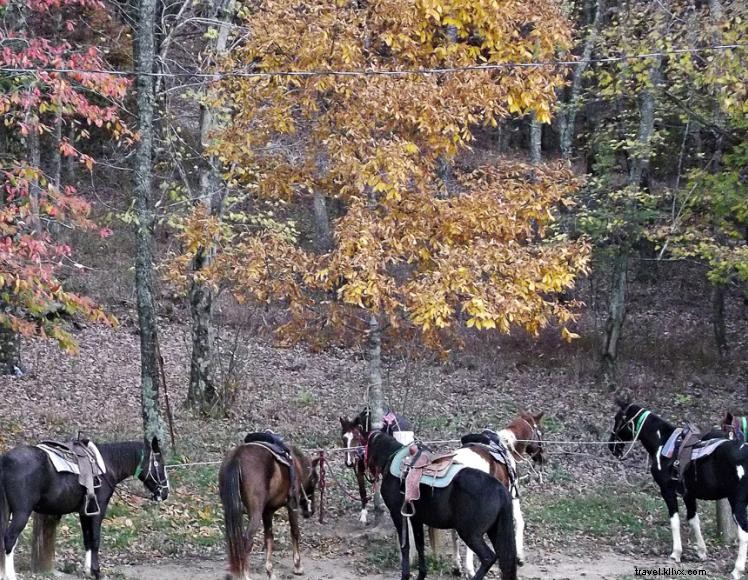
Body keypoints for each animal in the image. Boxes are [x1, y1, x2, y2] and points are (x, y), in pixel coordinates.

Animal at [0, 438, 169, 576]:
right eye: (160, 464)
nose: (165, 492)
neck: (107, 466)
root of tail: (5, 460)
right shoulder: (98, 510)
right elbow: (95, 539)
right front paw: (97, 572)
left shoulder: (85, 513)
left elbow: (87, 539)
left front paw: (88, 570)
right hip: (22, 512)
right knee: (9, 539)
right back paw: (10, 575)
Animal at [219, 440, 318, 580]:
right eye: (315, 479)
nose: (310, 511)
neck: (296, 465)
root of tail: (237, 456)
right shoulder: (292, 505)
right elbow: (294, 532)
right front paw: (297, 566)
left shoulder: (267, 512)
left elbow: (269, 538)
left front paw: (270, 571)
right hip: (255, 513)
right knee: (246, 540)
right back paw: (245, 575)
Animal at [366, 428, 516, 580]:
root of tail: (500, 490)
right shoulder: (416, 518)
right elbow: (419, 544)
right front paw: (421, 575)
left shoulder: (397, 514)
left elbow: (405, 546)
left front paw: (405, 575)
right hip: (494, 531)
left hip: (471, 534)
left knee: (488, 558)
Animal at [608, 398, 748, 580]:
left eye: (617, 419)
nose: (611, 446)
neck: (662, 442)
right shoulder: (688, 494)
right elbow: (693, 520)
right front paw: (702, 551)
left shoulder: (667, 490)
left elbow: (674, 521)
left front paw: (676, 553)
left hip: (737, 503)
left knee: (744, 534)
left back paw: (737, 569)